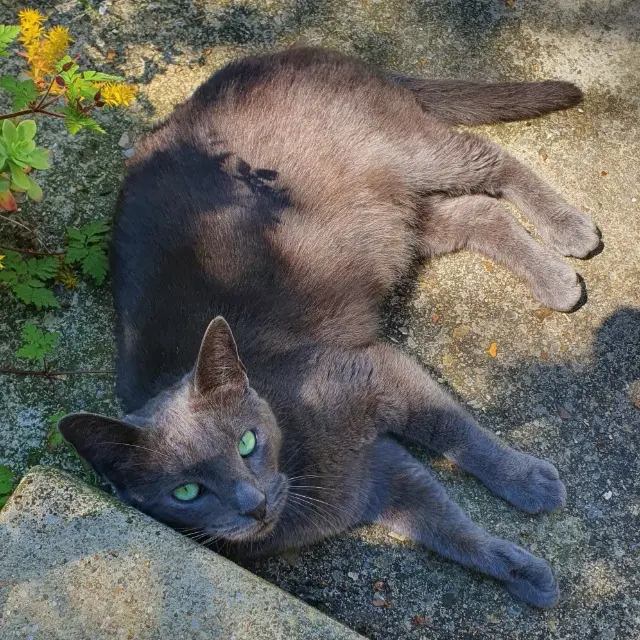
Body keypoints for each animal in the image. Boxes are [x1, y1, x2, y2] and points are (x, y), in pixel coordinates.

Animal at [58, 47, 600, 608]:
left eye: (247, 442)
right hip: (389, 222)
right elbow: (454, 533)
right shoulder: (378, 481)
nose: (252, 504)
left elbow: (455, 432)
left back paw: (568, 234)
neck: (300, 466)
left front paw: (529, 481)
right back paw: (553, 278)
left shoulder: (377, 371)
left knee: (493, 161)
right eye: (186, 492)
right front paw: (527, 575)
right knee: (478, 212)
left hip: (407, 149)